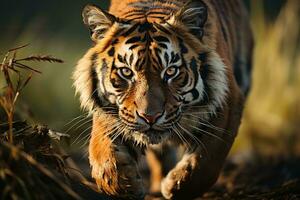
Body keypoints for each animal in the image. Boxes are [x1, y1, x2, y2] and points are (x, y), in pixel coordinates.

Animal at [73, 0, 253, 198]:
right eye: (126, 72)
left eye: (171, 71)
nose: (150, 117)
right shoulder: (110, 110)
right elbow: (102, 155)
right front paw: (126, 185)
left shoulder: (228, 100)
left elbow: (207, 161)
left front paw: (175, 186)